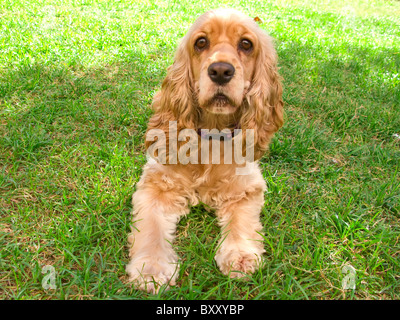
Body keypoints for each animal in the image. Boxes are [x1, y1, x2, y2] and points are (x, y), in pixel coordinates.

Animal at [126, 8, 282, 292]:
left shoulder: (246, 187)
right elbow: (150, 227)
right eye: (201, 42)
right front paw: (151, 269)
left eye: (246, 44)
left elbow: (242, 221)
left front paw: (240, 255)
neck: (211, 133)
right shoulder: (156, 184)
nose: (220, 70)